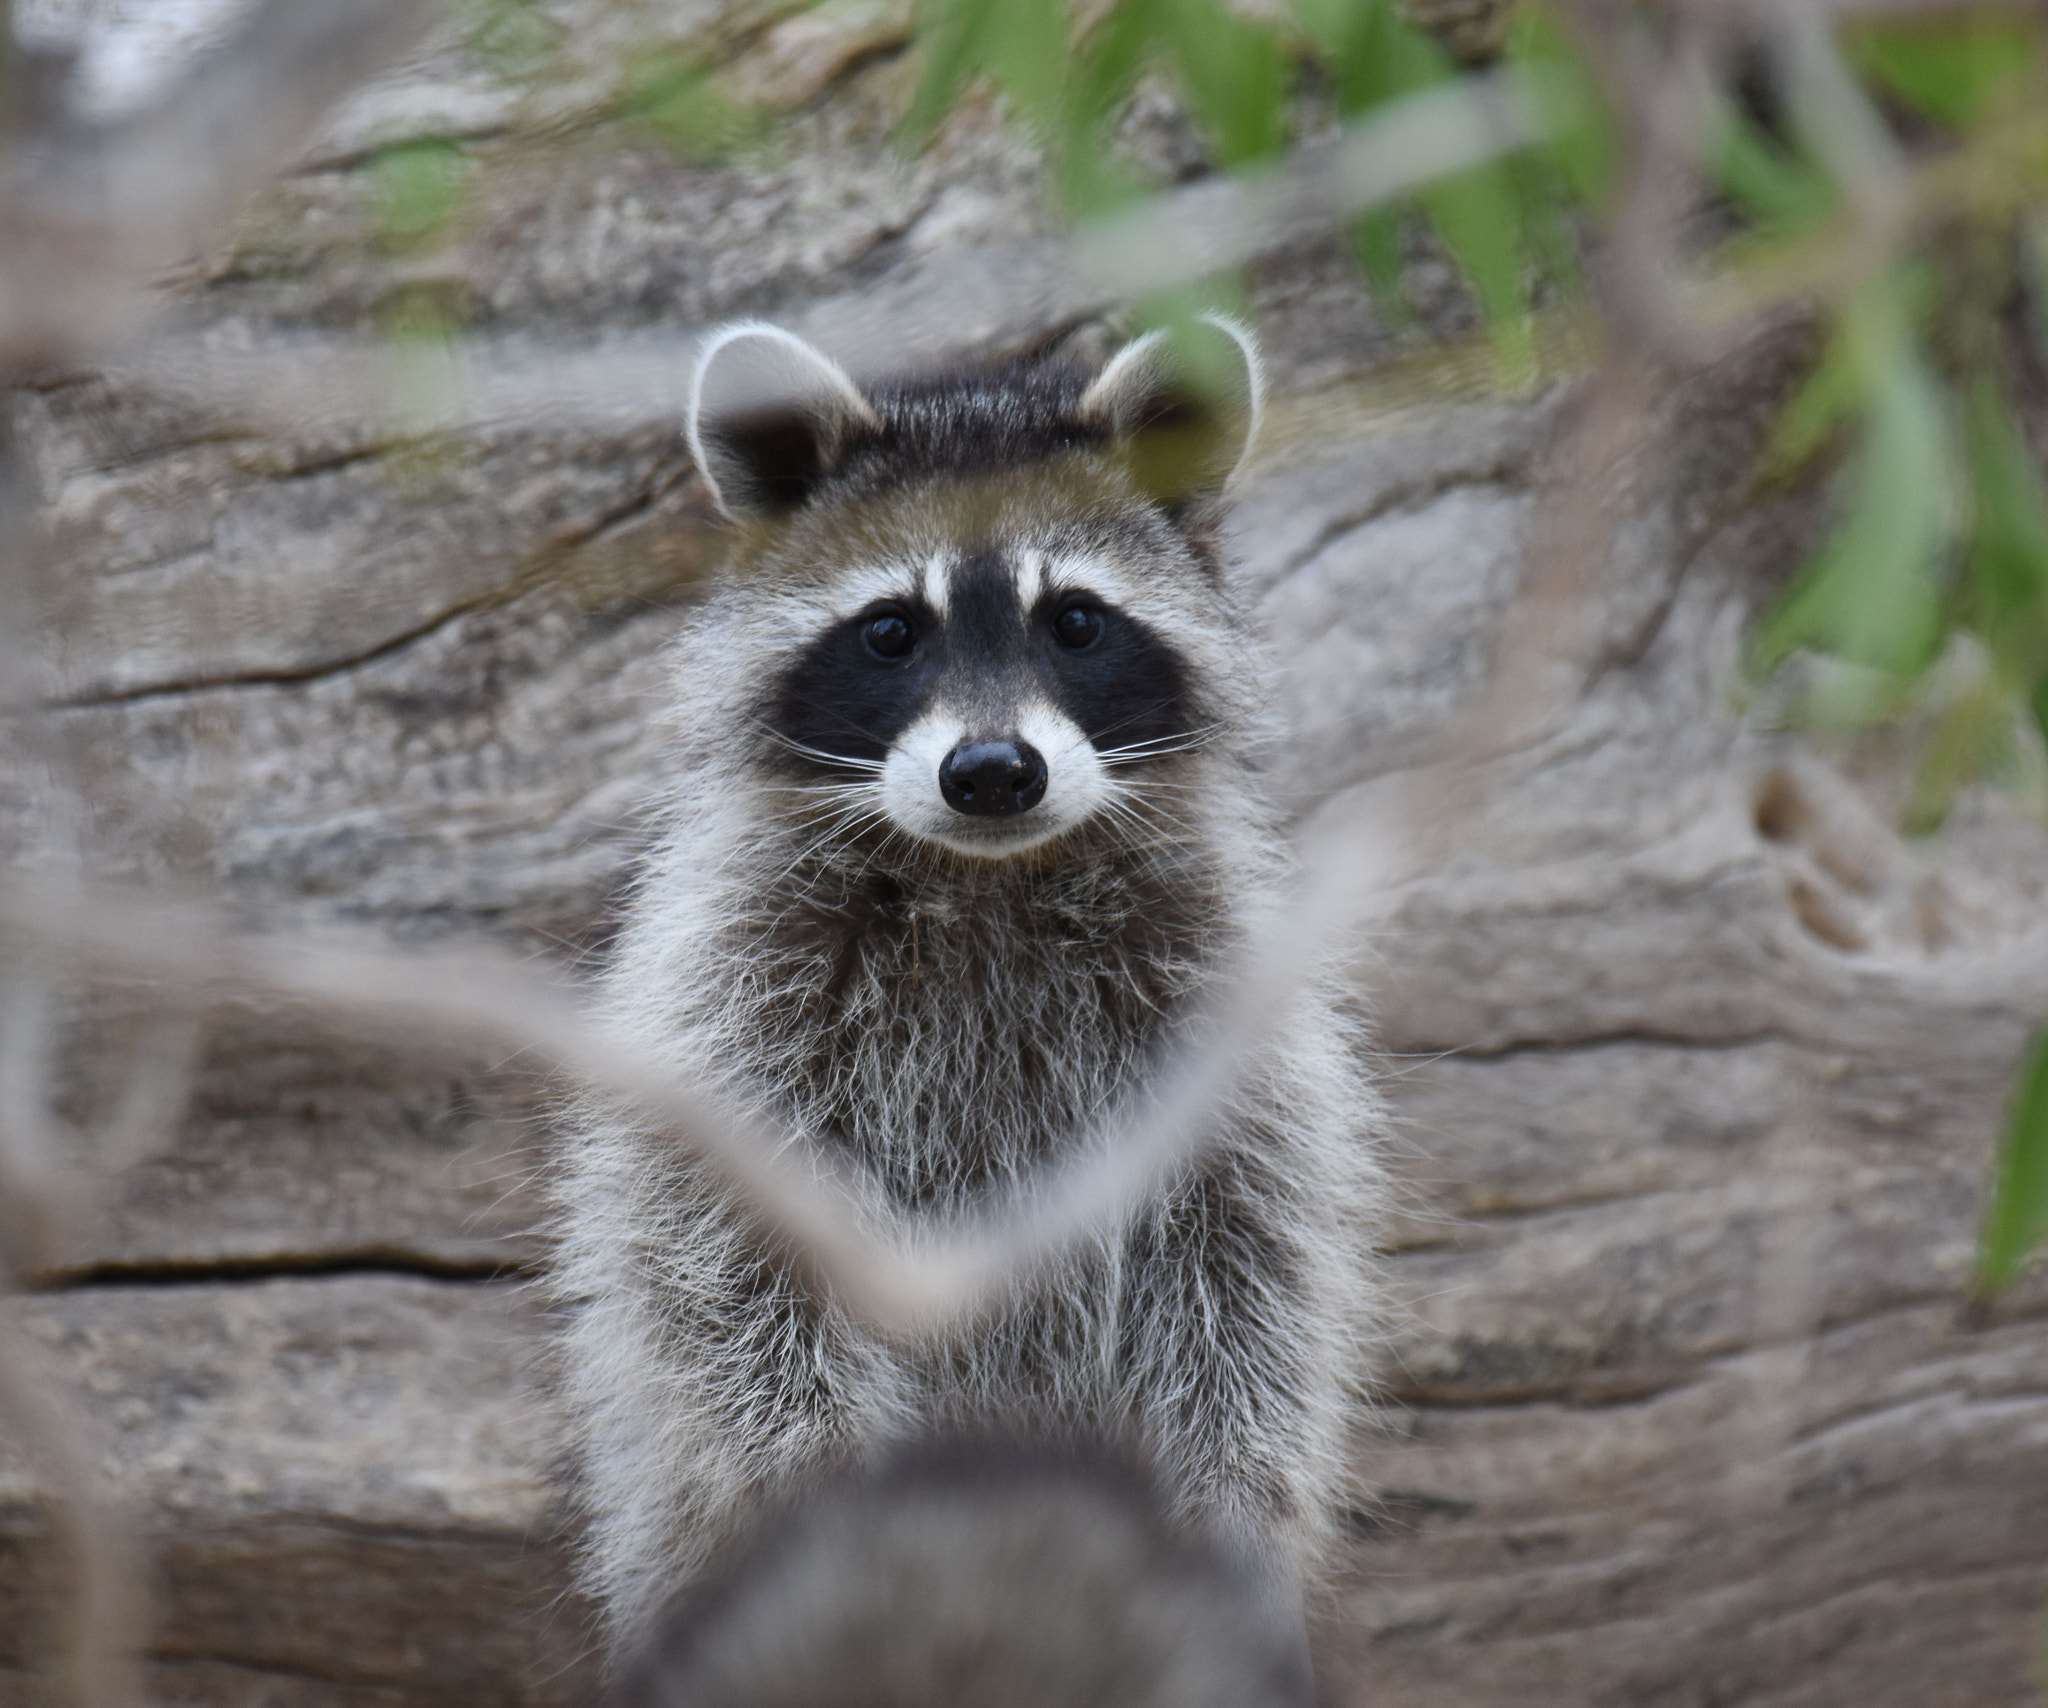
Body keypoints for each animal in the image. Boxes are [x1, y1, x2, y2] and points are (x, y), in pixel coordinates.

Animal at [557, 313, 1392, 1646]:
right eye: (892, 630)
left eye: (1076, 622)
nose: (992, 771)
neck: (986, 874)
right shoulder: (727, 992)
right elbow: (732, 1278)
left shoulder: (1226, 1011)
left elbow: (1247, 1280)